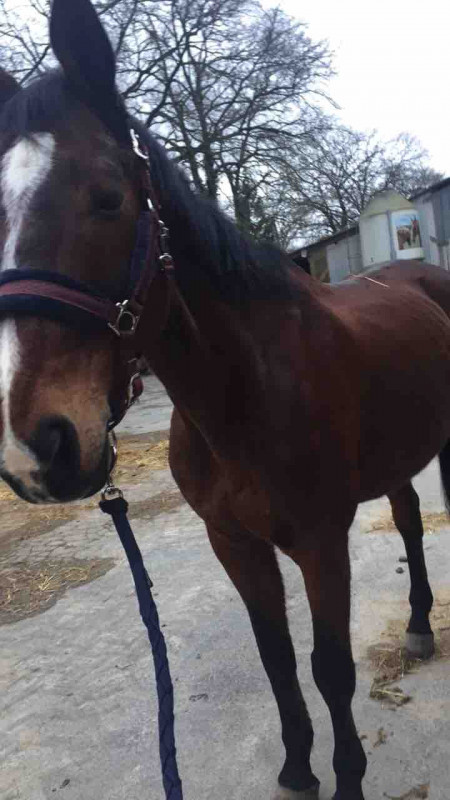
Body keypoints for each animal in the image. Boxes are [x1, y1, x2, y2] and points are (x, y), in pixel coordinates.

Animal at [1, 2, 450, 798]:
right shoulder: (233, 541)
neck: (244, 397)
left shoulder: (321, 543)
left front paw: (346, 776)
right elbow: (277, 659)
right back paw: (421, 624)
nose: (36, 446)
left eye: (108, 198)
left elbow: (331, 670)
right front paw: (298, 768)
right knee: (406, 522)